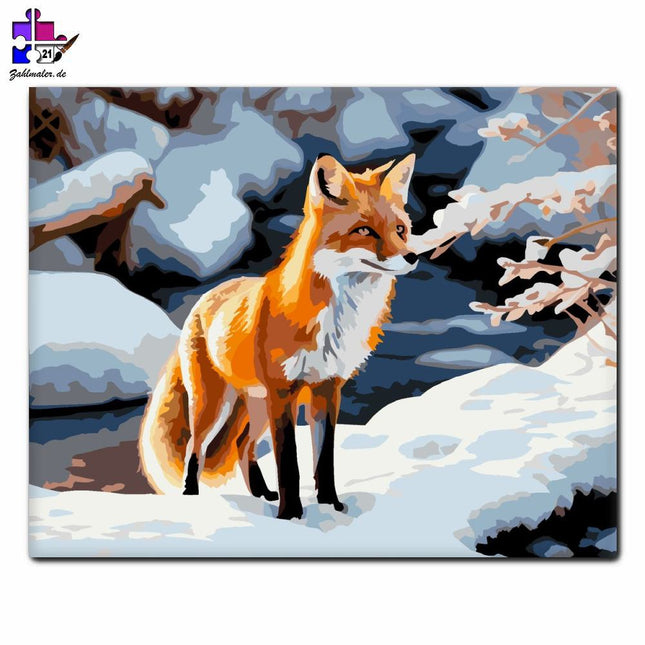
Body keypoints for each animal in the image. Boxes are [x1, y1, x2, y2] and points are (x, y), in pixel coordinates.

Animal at [138, 153, 418, 519]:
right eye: (364, 231)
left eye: (400, 230)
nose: (412, 257)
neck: (335, 319)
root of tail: (205, 298)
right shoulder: (283, 391)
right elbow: (289, 464)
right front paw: (291, 515)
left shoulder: (327, 389)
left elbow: (323, 461)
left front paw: (331, 507)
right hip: (214, 406)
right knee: (194, 451)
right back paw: (194, 501)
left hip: (254, 407)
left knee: (242, 445)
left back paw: (261, 493)